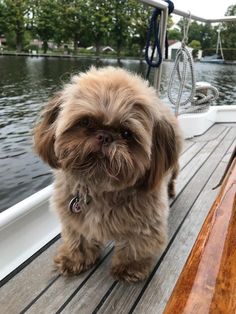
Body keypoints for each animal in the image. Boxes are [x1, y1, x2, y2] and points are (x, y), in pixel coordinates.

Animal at [34, 66, 183, 282]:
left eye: (127, 134)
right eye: (86, 122)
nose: (104, 136)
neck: (100, 187)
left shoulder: (147, 220)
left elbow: (136, 245)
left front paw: (130, 267)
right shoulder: (74, 217)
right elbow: (77, 237)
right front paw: (74, 258)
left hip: (172, 168)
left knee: (171, 179)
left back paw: (171, 190)